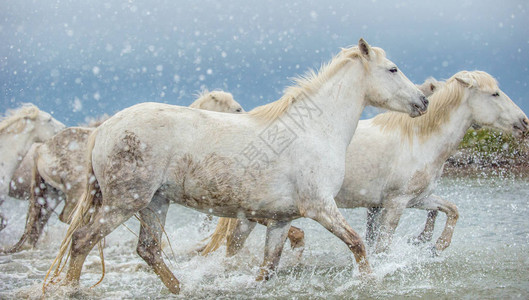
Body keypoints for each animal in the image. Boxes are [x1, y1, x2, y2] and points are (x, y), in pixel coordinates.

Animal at [45, 38, 426, 294]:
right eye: (392, 69)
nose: (422, 101)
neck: (314, 130)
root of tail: (104, 128)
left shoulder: (280, 220)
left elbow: (267, 269)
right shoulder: (320, 207)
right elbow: (358, 243)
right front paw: (370, 280)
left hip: (154, 203)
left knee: (148, 250)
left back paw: (183, 289)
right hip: (124, 202)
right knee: (82, 240)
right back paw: (72, 288)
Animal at [201, 69, 524, 255]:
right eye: (494, 93)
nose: (524, 122)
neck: (419, 139)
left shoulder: (416, 198)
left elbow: (450, 209)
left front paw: (431, 243)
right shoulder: (396, 203)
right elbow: (382, 245)